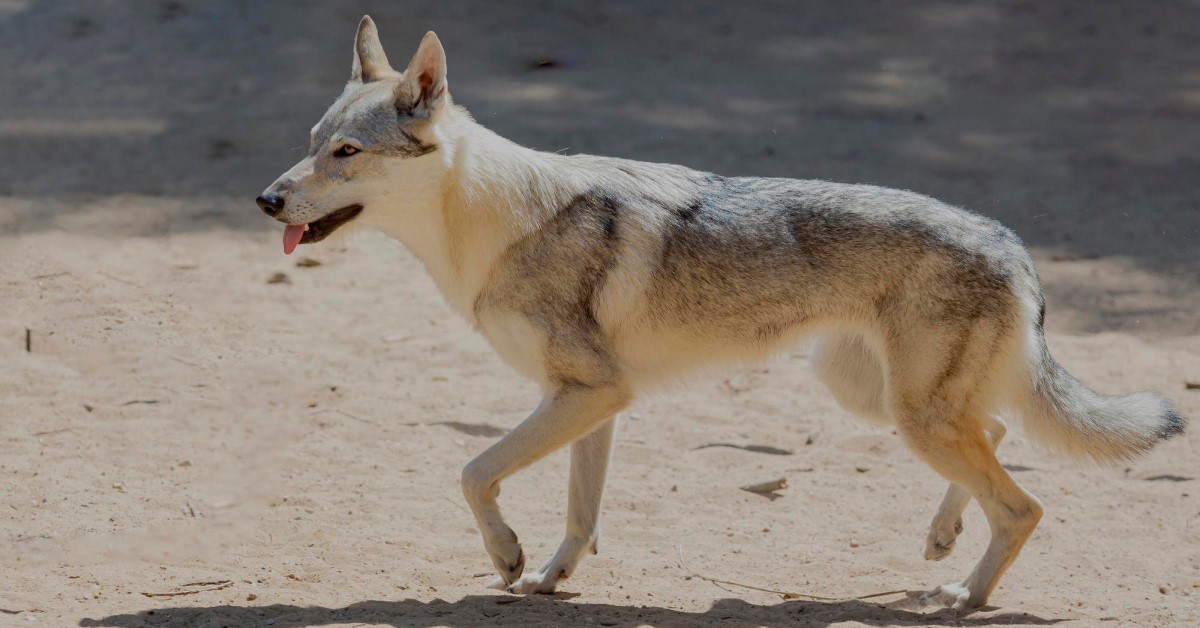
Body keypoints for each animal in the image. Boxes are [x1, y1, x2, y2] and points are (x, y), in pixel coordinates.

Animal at [258, 17, 1185, 612]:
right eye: (309, 144)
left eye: (346, 153)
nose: (266, 200)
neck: (487, 220)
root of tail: (1011, 240)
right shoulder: (595, 402)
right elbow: (580, 513)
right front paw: (551, 578)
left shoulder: (586, 395)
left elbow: (473, 471)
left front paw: (507, 556)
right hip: (882, 402)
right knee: (993, 439)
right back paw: (941, 543)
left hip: (909, 415)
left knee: (1021, 504)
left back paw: (965, 593)